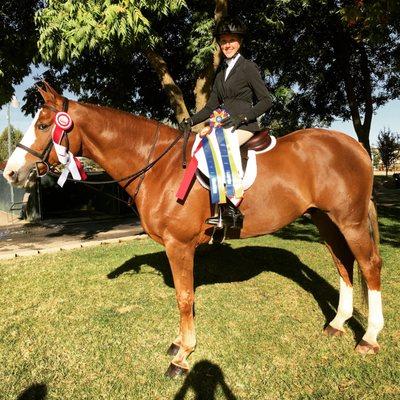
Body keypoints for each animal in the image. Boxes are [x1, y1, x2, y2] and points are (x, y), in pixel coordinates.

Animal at [3, 83, 384, 378]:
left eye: (44, 124)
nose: (10, 173)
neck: (159, 166)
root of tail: (354, 145)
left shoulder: (179, 245)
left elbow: (184, 298)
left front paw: (183, 356)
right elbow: (183, 298)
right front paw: (179, 344)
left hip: (348, 220)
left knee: (369, 266)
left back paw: (369, 338)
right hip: (324, 219)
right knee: (342, 263)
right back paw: (337, 323)